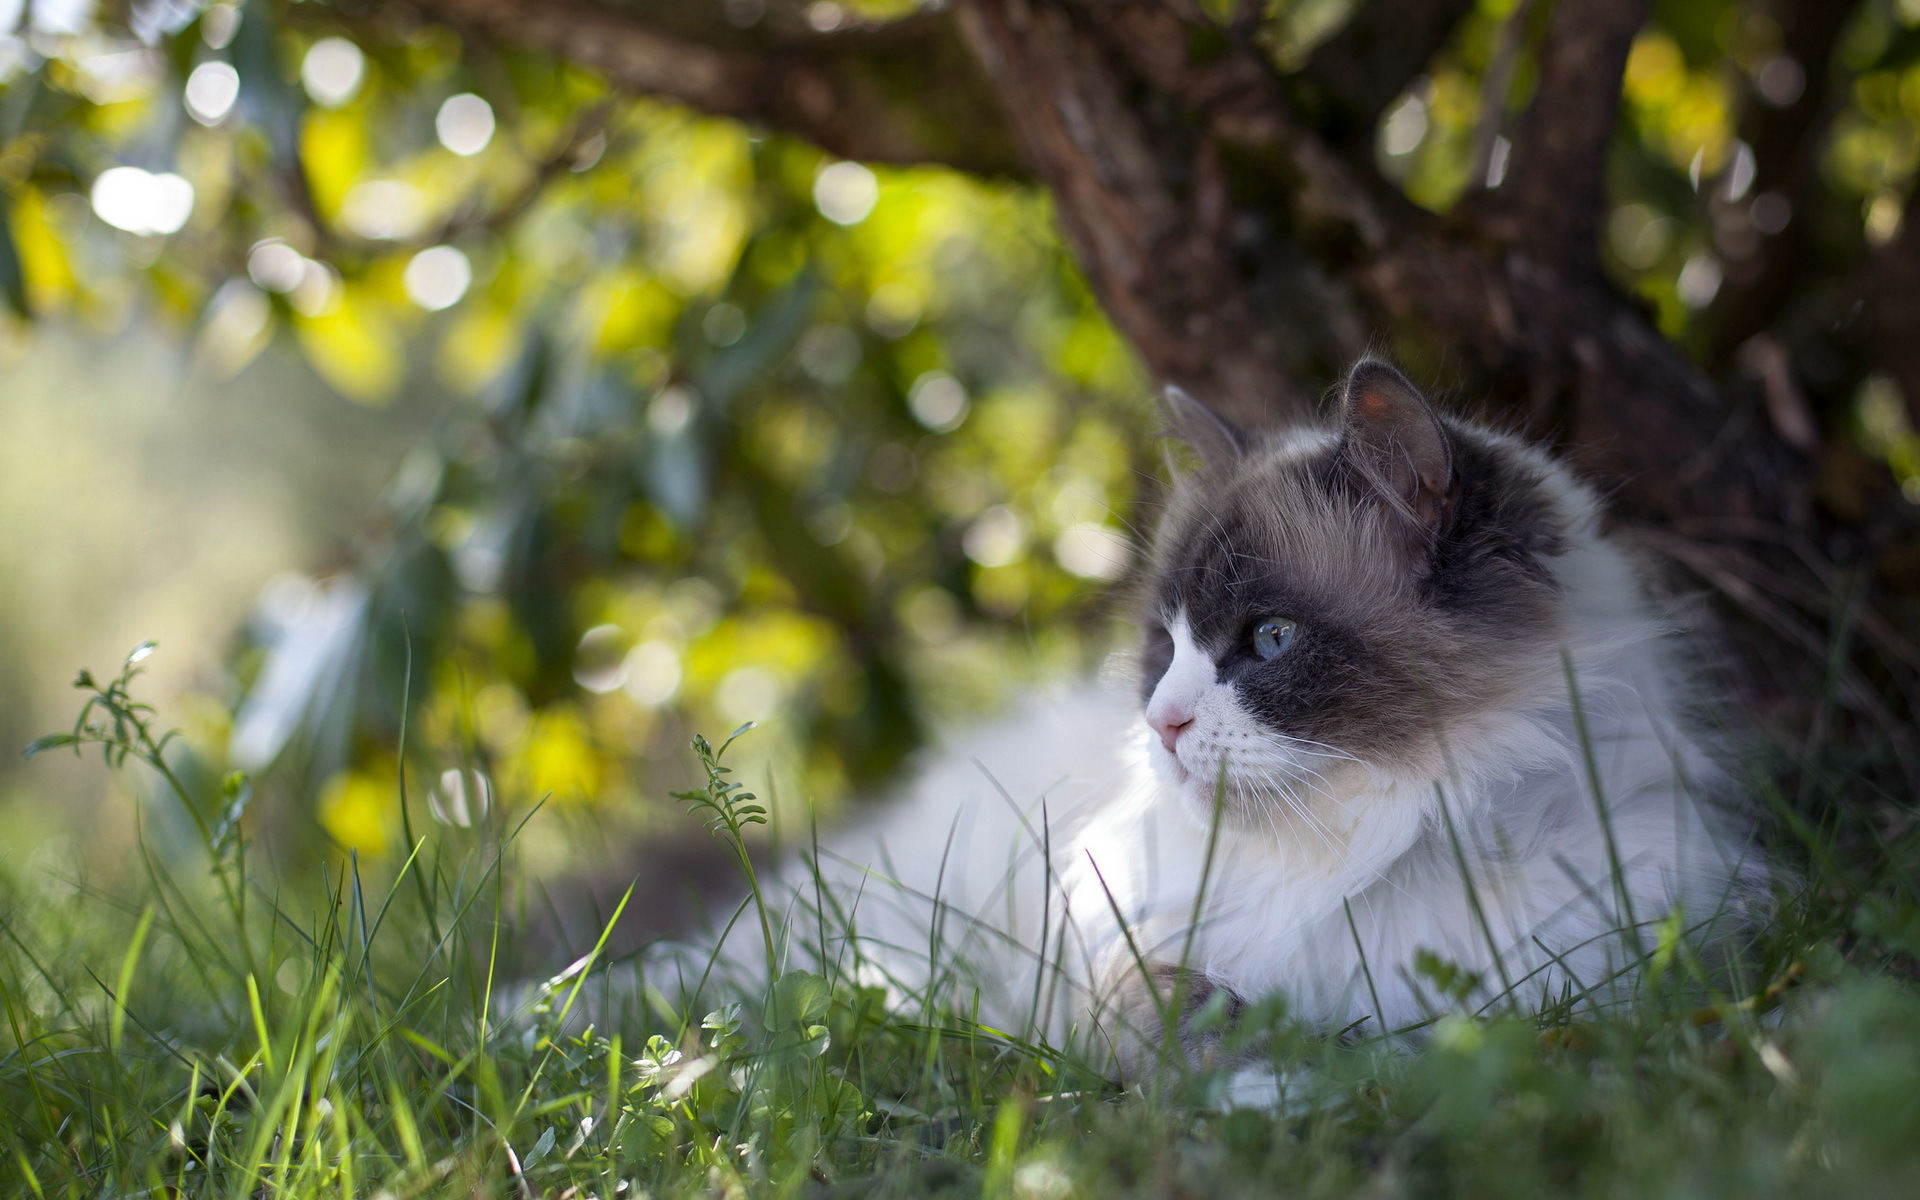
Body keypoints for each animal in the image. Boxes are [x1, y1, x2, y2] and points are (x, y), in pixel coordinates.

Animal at [695, 355, 1766, 1075]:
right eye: (1164, 645)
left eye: (1272, 640)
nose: (1162, 726)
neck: (1379, 844)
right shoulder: (1111, 964)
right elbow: (1185, 1018)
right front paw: (1267, 1073)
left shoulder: (1596, 984)